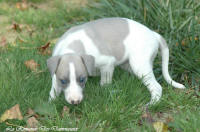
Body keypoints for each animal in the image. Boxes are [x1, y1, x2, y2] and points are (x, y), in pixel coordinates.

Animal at [46, 17, 185, 104]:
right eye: (63, 81)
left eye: (82, 79)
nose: (75, 102)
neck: (72, 46)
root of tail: (154, 34)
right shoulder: (56, 72)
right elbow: (54, 88)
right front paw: (51, 102)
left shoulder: (107, 64)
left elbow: (104, 83)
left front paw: (104, 92)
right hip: (131, 65)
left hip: (139, 65)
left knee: (157, 87)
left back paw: (151, 105)